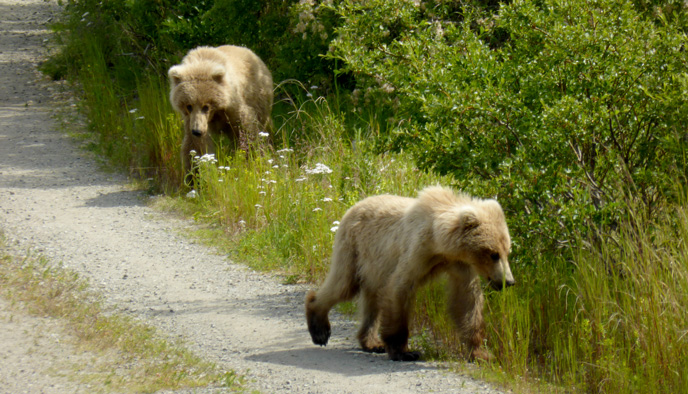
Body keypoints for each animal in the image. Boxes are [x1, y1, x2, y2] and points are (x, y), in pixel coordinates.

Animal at [168, 44, 272, 177]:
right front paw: (195, 174)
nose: (197, 131)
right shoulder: (191, 120)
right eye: (189, 106)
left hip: (259, 98)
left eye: (206, 106)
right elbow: (195, 146)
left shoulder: (233, 107)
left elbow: (247, 130)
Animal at [304, 186, 512, 362]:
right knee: (344, 284)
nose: (508, 281)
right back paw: (319, 328)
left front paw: (482, 353)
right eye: (493, 254)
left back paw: (372, 342)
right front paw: (404, 351)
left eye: (506, 251)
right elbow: (399, 288)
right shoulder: (417, 251)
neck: (440, 243)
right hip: (353, 248)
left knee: (371, 299)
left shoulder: (459, 264)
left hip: (373, 264)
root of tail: (354, 206)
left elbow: (467, 300)